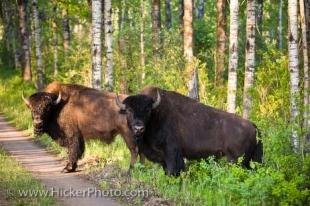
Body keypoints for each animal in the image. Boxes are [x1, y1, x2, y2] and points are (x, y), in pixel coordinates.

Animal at [117, 86, 264, 175]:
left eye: (148, 110)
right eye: (128, 110)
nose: (138, 128)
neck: (156, 114)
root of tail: (252, 125)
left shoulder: (171, 153)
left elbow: (172, 171)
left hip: (236, 161)